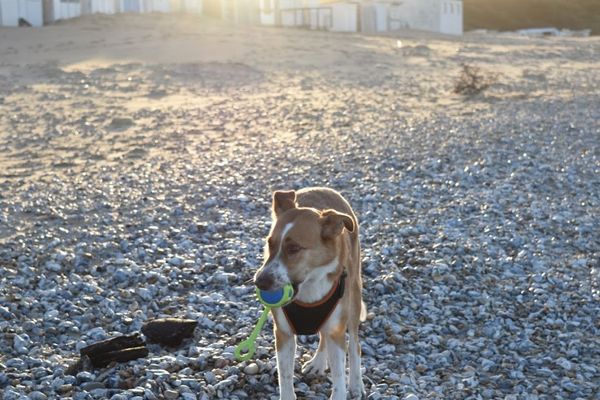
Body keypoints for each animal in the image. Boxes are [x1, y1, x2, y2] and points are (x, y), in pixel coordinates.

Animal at [253, 188, 366, 400]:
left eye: (294, 248)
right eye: (270, 244)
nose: (260, 282)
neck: (309, 285)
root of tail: (325, 189)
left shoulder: (337, 330)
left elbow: (339, 378)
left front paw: (345, 388)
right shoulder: (283, 333)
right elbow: (285, 377)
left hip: (354, 297)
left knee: (355, 344)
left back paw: (356, 384)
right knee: (323, 335)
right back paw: (318, 362)